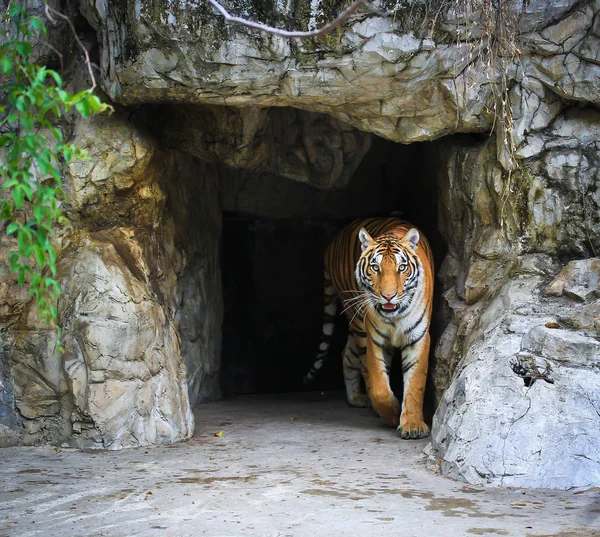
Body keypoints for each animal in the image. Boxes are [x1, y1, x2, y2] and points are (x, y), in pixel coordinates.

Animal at [302, 216, 434, 438]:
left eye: (401, 268)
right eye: (375, 268)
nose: (388, 296)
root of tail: (332, 243)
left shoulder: (418, 337)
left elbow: (415, 384)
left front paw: (413, 425)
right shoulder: (375, 338)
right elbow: (380, 386)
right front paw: (392, 412)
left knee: (347, 353)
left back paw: (356, 397)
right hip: (356, 319)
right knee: (360, 362)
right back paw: (366, 400)